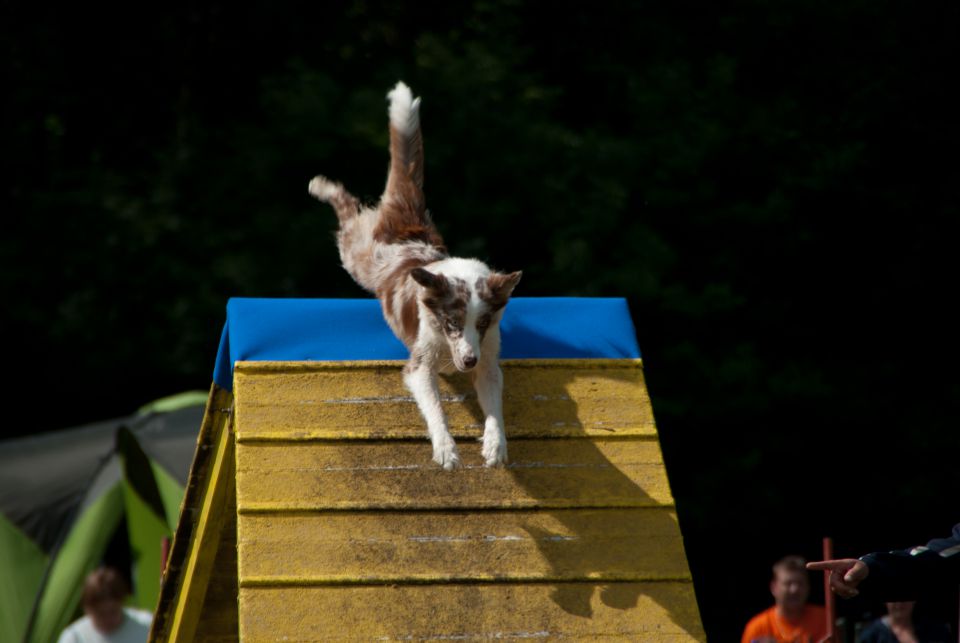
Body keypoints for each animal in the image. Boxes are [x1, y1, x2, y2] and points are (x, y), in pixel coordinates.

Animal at [310, 83, 520, 470]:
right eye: (452, 323)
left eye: (482, 323)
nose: (468, 361)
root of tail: (407, 221)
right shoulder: (420, 364)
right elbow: (435, 406)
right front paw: (447, 449)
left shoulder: (488, 359)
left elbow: (494, 407)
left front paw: (495, 446)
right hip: (356, 256)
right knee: (347, 210)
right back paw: (321, 186)